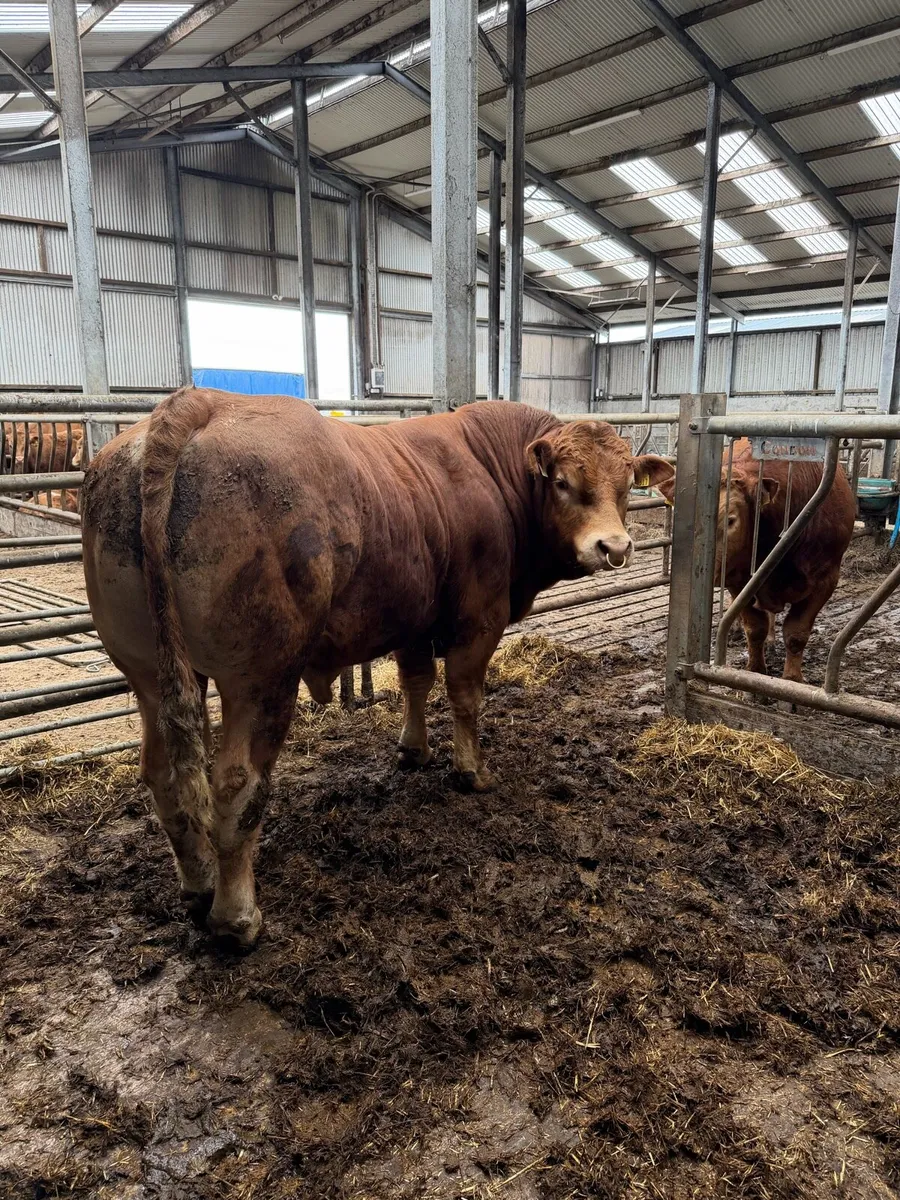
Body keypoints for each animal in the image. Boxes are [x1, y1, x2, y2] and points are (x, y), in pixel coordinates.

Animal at [80, 388, 674, 946]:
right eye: (563, 483)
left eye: (628, 483)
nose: (614, 546)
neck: (491, 470)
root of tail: (196, 404)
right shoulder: (479, 619)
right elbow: (464, 695)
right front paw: (471, 770)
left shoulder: (412, 619)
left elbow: (416, 681)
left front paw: (414, 750)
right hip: (260, 678)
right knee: (236, 786)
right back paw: (237, 918)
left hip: (149, 676)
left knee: (164, 777)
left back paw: (199, 887)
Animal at [661, 438, 855, 683]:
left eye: (730, 520)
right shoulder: (739, 580)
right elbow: (755, 628)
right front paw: (754, 671)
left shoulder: (826, 580)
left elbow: (796, 633)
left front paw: (792, 679)